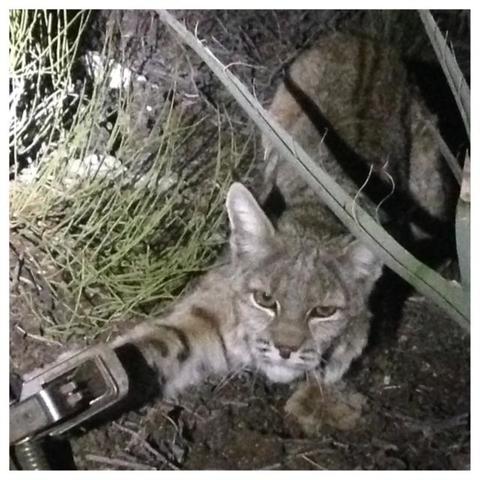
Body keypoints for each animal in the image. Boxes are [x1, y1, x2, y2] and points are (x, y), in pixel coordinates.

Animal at [112, 32, 453, 433]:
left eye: (323, 311)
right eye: (264, 299)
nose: (285, 350)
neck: (315, 217)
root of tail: (363, 38)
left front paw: (318, 399)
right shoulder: (207, 310)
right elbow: (153, 343)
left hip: (432, 185)